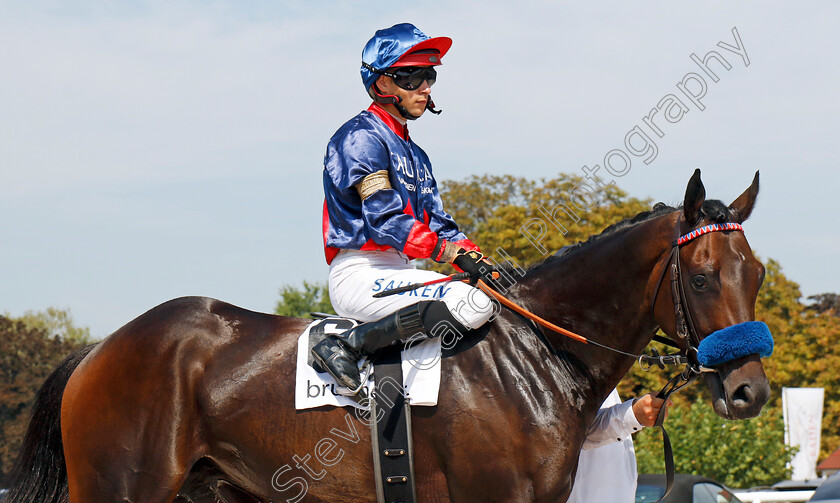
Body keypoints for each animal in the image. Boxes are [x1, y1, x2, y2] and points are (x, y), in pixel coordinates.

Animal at [6, 171, 768, 502]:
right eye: (703, 277)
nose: (750, 391)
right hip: (119, 489)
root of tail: (101, 348)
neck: (533, 356)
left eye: (756, 273)